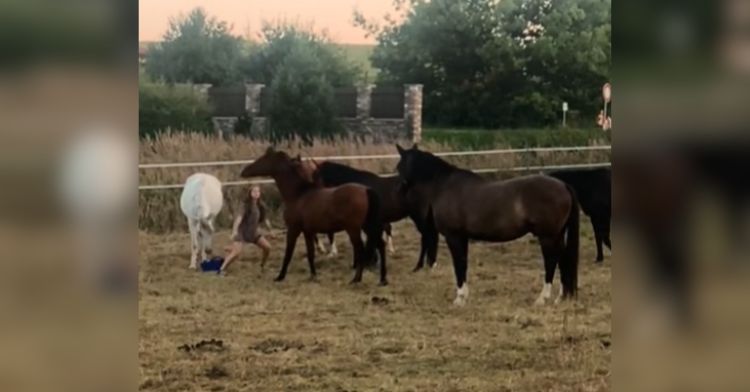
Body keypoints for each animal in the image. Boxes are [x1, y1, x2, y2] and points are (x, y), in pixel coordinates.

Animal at [241, 147, 388, 284]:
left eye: (263, 159)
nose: (244, 171)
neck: (299, 195)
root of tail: (366, 190)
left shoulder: (293, 229)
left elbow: (288, 253)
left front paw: (280, 277)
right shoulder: (308, 231)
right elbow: (311, 253)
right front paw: (313, 276)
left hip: (354, 229)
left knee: (361, 250)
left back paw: (356, 279)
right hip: (368, 227)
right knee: (380, 245)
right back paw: (382, 280)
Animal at [400, 145, 580, 306]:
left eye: (399, 167)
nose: (401, 191)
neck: (445, 186)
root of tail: (563, 185)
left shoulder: (454, 237)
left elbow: (458, 264)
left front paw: (459, 298)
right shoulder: (462, 237)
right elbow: (463, 264)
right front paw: (464, 296)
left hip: (548, 237)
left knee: (551, 261)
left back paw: (542, 298)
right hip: (557, 235)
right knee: (563, 259)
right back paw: (561, 297)